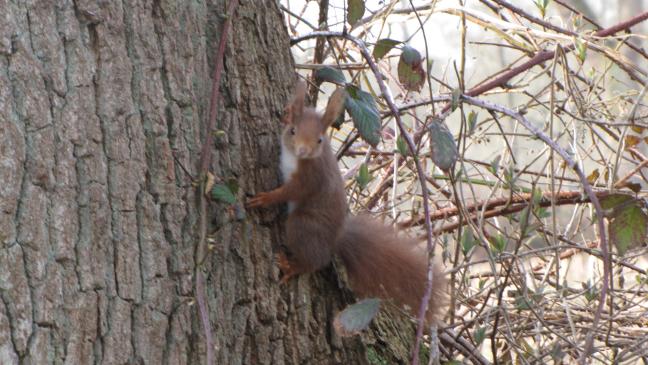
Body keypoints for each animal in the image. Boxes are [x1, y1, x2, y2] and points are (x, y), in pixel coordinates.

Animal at [247, 82, 446, 322]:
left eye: (320, 139)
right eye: (293, 130)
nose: (303, 150)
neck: (296, 158)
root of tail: (335, 240)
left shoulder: (311, 177)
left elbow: (292, 191)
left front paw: (266, 198)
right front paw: (287, 112)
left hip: (302, 225)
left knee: (313, 261)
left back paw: (291, 266)